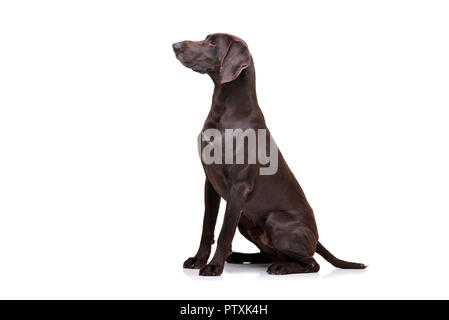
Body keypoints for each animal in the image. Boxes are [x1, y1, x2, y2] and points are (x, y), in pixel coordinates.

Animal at [172, 33, 364, 276]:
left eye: (213, 42)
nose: (175, 46)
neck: (224, 110)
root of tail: (317, 238)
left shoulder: (239, 186)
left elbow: (225, 231)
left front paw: (214, 266)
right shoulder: (210, 183)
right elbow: (208, 226)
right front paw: (199, 259)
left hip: (275, 219)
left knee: (312, 263)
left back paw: (280, 267)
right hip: (246, 221)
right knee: (268, 254)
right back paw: (242, 257)